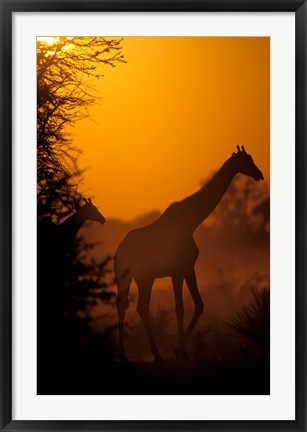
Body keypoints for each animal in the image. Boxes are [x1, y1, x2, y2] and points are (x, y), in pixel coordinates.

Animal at [115, 147, 264, 362]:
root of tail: (118, 251)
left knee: (128, 305)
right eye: (247, 160)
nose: (259, 174)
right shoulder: (181, 269)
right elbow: (185, 308)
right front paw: (180, 350)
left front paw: (181, 350)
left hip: (131, 277)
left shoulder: (184, 269)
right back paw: (152, 354)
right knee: (137, 306)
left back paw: (127, 353)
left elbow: (194, 305)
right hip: (142, 277)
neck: (192, 222)